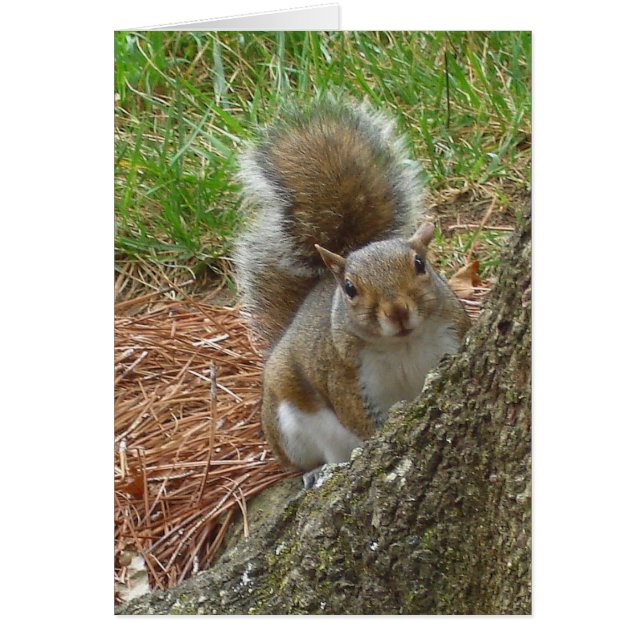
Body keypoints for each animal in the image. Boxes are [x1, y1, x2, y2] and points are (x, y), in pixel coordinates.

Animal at [234, 98, 470, 487]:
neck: (403, 344)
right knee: (321, 454)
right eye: (349, 288)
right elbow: (359, 419)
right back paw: (318, 473)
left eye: (420, 264)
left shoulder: (452, 338)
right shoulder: (345, 374)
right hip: (291, 423)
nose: (397, 311)